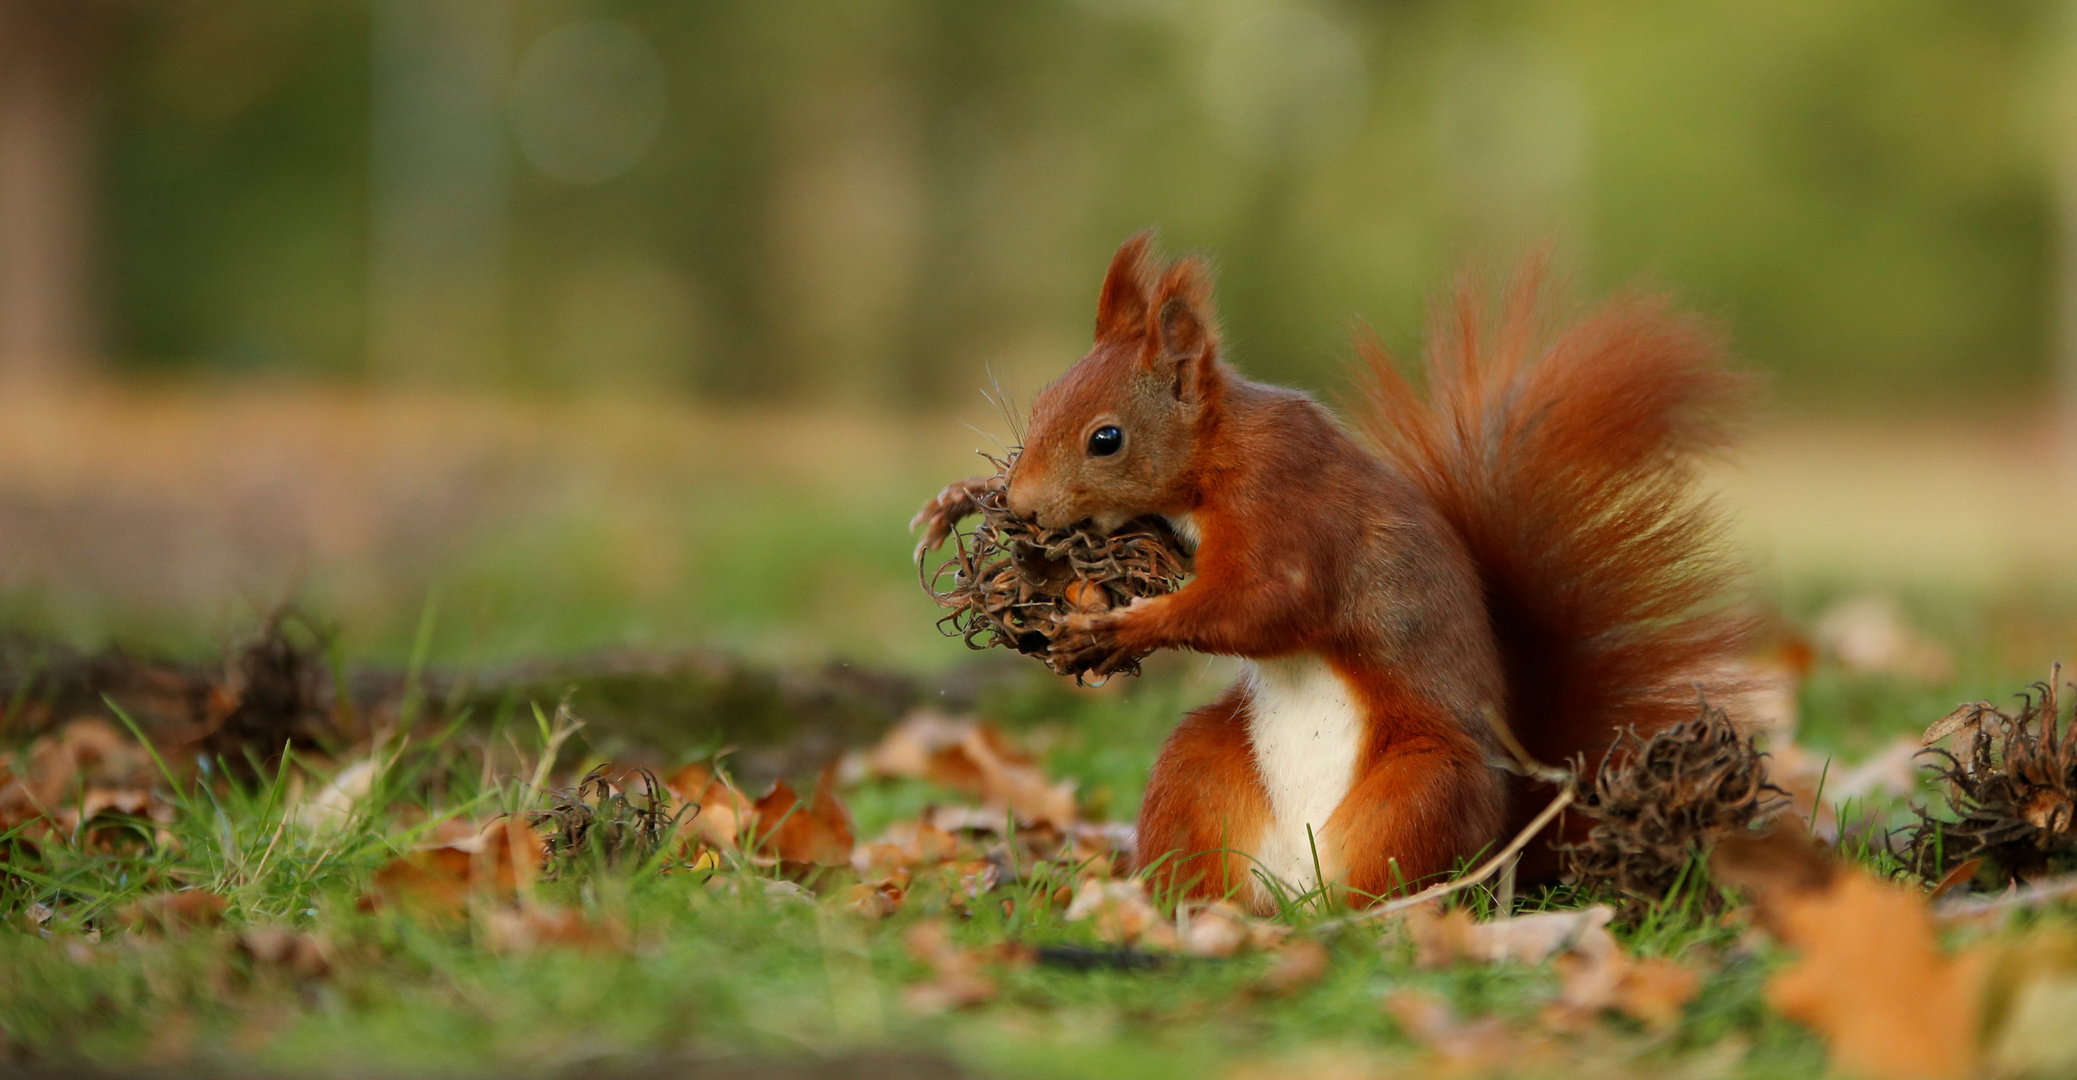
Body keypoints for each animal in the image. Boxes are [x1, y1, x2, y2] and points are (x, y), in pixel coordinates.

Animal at [918, 236, 1744, 909]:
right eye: (1040, 403)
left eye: (1106, 439)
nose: (1023, 502)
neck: (1219, 454)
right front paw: (960, 497)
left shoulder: (1288, 509)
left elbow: (1264, 606)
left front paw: (1120, 627)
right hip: (1199, 768)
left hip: (1421, 789)